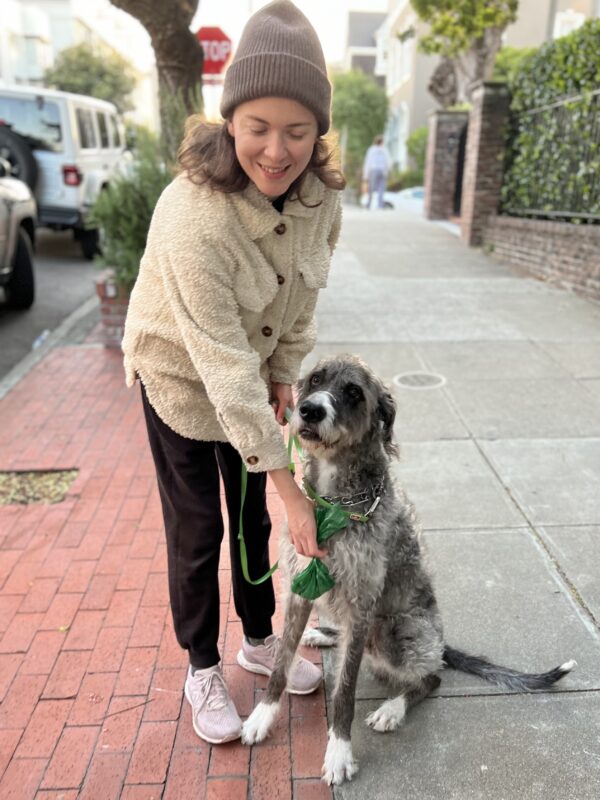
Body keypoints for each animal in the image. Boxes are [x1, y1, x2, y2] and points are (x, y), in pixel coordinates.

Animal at [240, 354, 576, 780]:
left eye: (354, 392)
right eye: (315, 379)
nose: (310, 410)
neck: (336, 504)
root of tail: (441, 642)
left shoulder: (363, 601)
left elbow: (345, 689)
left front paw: (339, 751)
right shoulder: (301, 587)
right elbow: (281, 662)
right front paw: (261, 717)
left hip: (394, 632)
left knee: (431, 675)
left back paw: (392, 708)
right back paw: (321, 635)